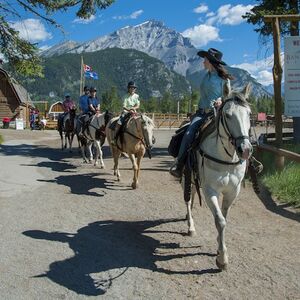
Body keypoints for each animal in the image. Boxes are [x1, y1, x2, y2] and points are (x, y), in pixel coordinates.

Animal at [185, 83, 253, 270]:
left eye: (249, 114)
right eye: (228, 115)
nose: (245, 150)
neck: (225, 158)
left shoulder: (233, 191)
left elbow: (224, 217)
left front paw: (218, 246)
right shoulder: (210, 191)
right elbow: (220, 221)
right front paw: (222, 258)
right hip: (187, 176)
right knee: (187, 199)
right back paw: (190, 226)